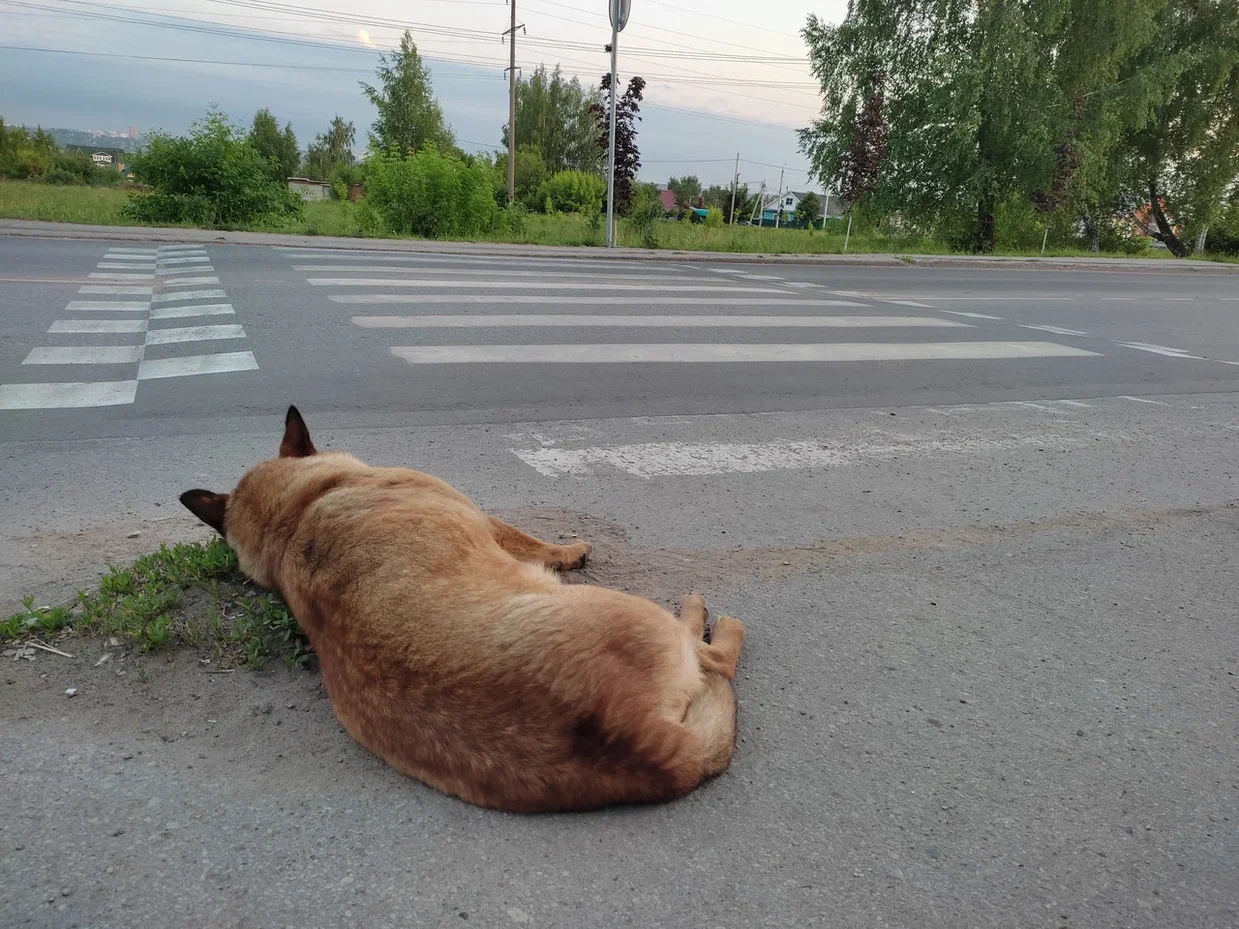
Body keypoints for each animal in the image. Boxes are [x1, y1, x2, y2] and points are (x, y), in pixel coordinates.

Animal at [180, 411, 743, 812]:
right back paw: (704, 615)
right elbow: (529, 540)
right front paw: (568, 551)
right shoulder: (484, 519)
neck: (294, 517)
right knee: (716, 659)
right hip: (634, 611)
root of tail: (641, 742)